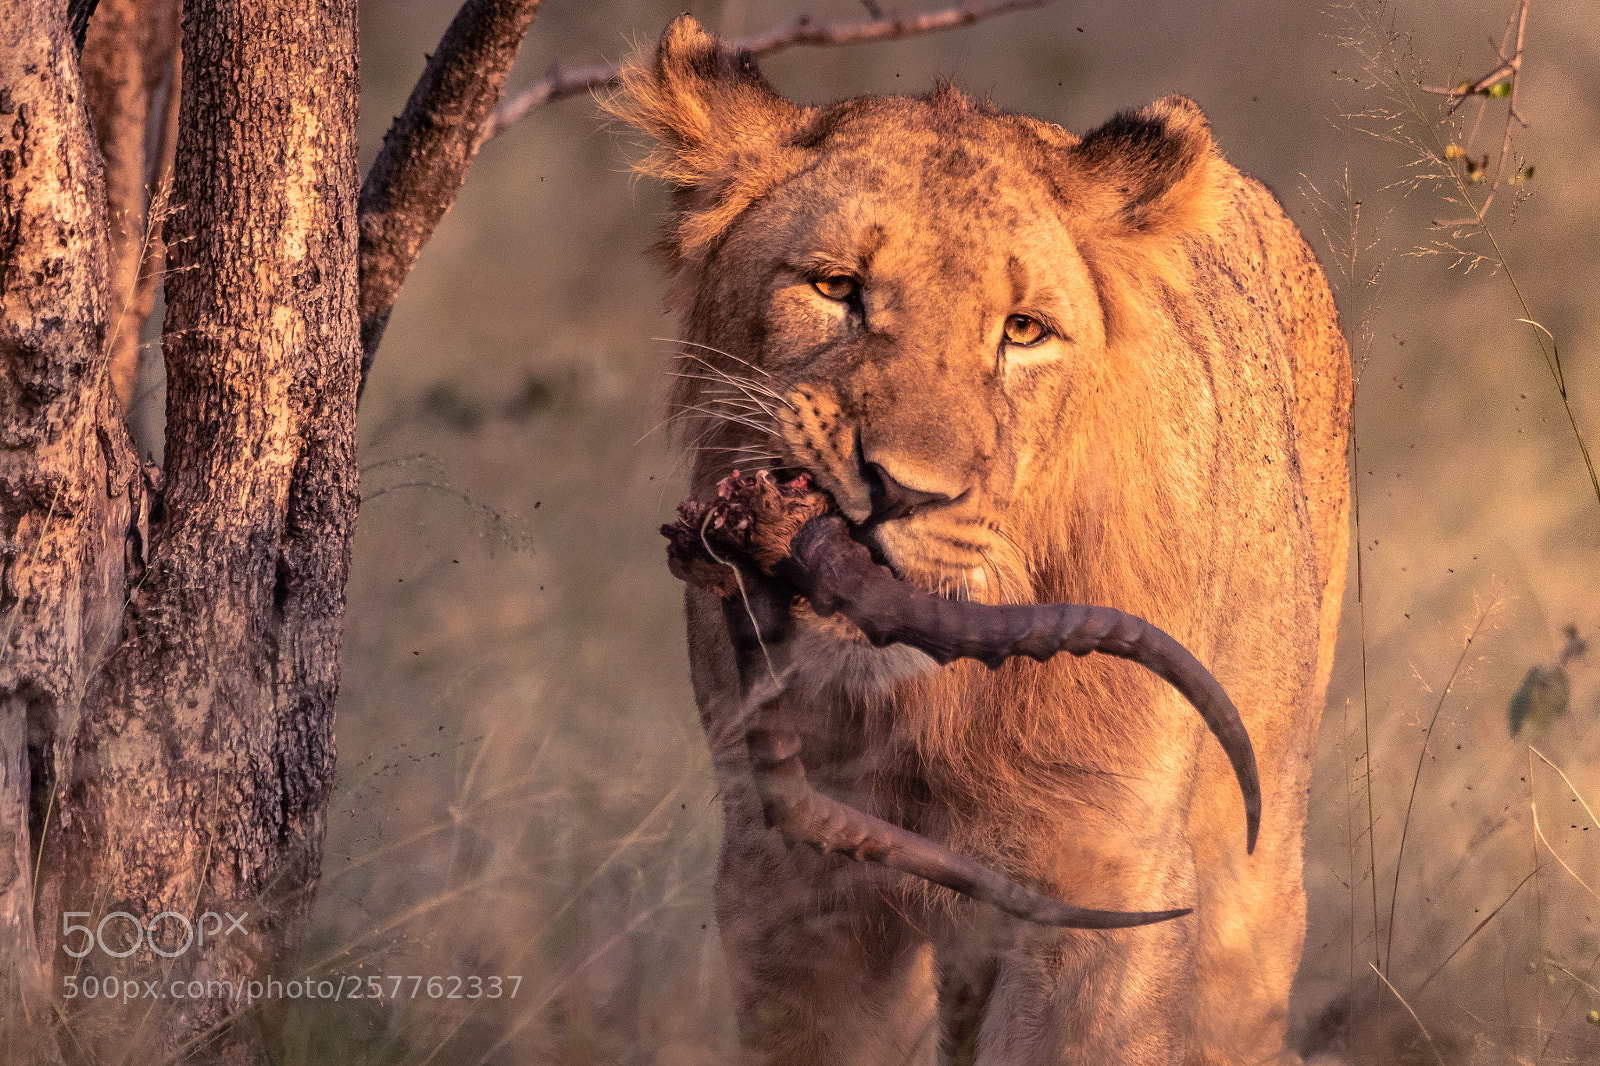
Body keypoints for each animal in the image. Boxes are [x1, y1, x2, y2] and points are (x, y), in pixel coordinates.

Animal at [611, 17, 1350, 1065]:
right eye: (835, 287)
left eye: (1024, 330)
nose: (900, 490)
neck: (933, 709)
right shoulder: (793, 882)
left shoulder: (1107, 879)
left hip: (1257, 860)